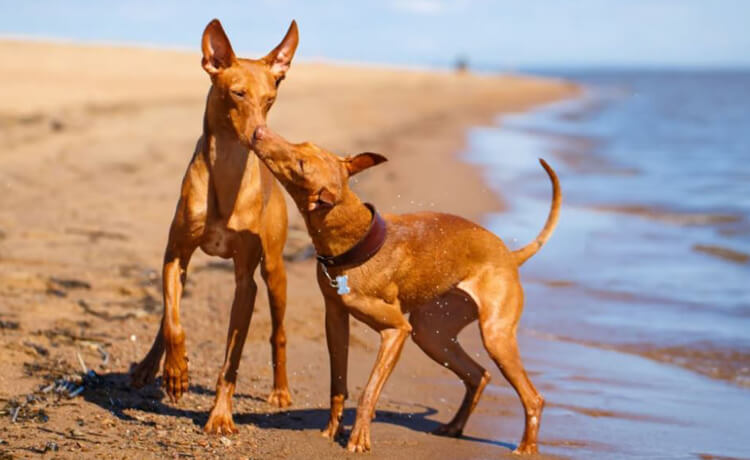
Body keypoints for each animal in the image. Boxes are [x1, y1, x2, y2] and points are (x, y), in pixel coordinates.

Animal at [132, 18, 300, 434]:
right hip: (184, 266)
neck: (226, 169)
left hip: (275, 272)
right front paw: (175, 371)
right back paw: (150, 366)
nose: (261, 136)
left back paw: (280, 391)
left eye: (270, 99)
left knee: (279, 332)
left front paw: (221, 415)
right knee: (167, 314)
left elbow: (231, 360)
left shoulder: (247, 283)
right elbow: (173, 323)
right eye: (237, 94)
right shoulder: (175, 256)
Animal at [250, 125, 560, 452]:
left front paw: (359, 437)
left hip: (495, 336)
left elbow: (369, 390)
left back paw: (526, 447)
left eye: (300, 165)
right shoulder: (335, 319)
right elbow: (338, 384)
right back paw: (454, 426)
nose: (259, 131)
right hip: (432, 333)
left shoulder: (396, 331)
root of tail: (510, 256)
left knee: (533, 397)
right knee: (479, 375)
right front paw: (332, 429)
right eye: (303, 145)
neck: (356, 240)